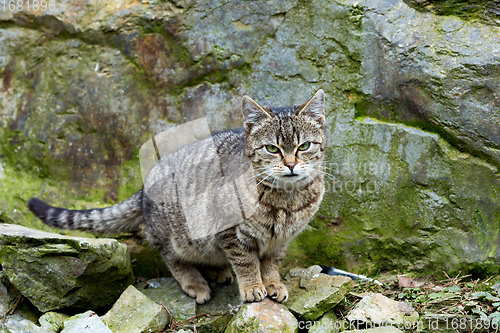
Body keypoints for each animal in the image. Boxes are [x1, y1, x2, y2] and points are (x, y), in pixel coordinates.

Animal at [30, 89, 328, 304]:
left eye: (304, 146)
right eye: (271, 149)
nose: (291, 164)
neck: (286, 199)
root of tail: (142, 190)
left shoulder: (281, 241)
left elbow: (271, 264)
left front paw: (273, 283)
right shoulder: (230, 233)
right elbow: (246, 262)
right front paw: (253, 286)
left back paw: (217, 270)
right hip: (176, 235)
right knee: (171, 256)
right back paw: (195, 281)